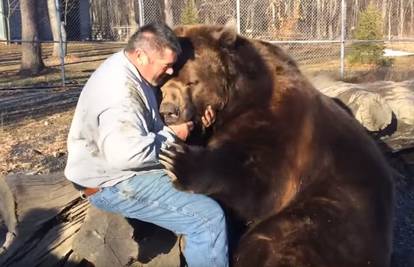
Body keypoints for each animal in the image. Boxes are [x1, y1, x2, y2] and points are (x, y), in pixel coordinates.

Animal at [159, 25, 394, 267]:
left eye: (191, 82)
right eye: (163, 83)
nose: (169, 111)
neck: (240, 100)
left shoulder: (282, 128)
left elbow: (260, 185)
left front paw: (177, 160)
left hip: (334, 212)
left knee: (280, 239)